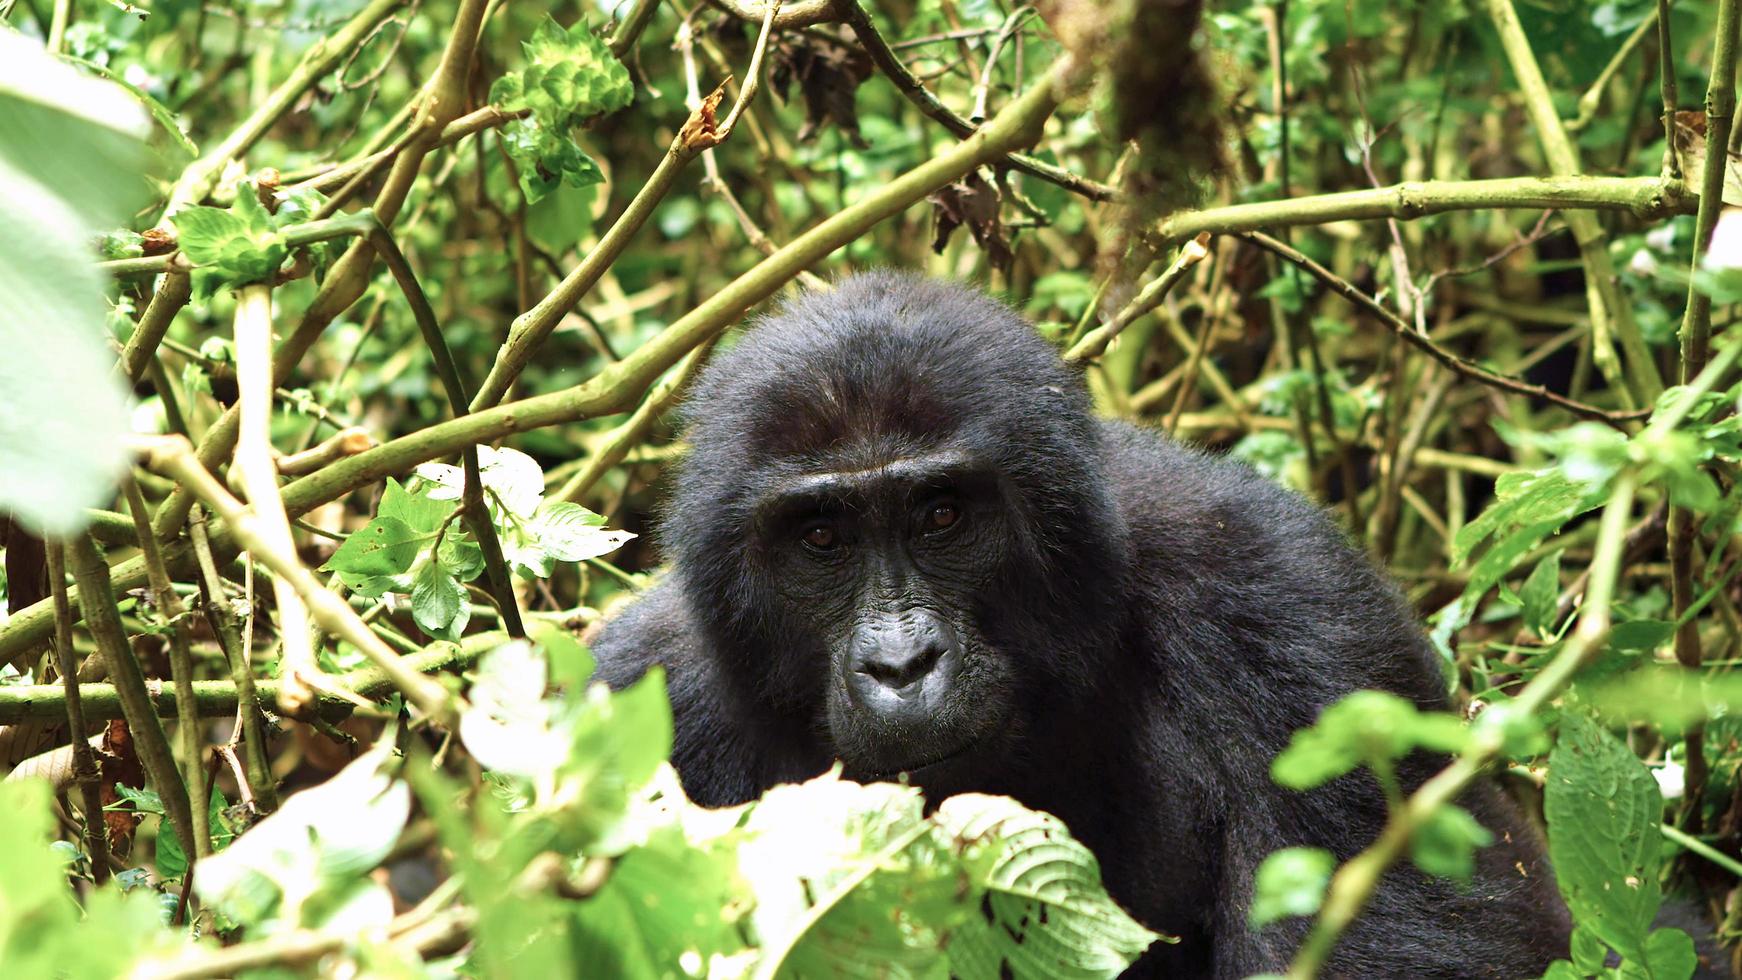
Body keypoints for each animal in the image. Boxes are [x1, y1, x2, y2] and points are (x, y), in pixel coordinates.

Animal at [592, 271, 1574, 974]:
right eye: (822, 538)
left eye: (942, 516)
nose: (903, 664)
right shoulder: (640, 692)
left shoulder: (1284, 597)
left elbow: (1414, 927)